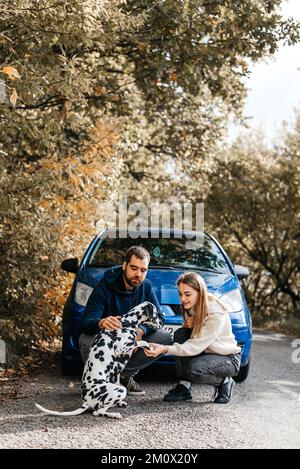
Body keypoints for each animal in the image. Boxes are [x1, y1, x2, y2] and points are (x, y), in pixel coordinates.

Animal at [36, 302, 165, 418]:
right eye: (156, 314)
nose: (163, 322)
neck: (127, 322)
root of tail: (86, 401)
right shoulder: (122, 348)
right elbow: (142, 341)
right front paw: (148, 346)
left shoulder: (116, 373)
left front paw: (120, 403)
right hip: (120, 390)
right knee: (98, 412)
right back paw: (114, 414)